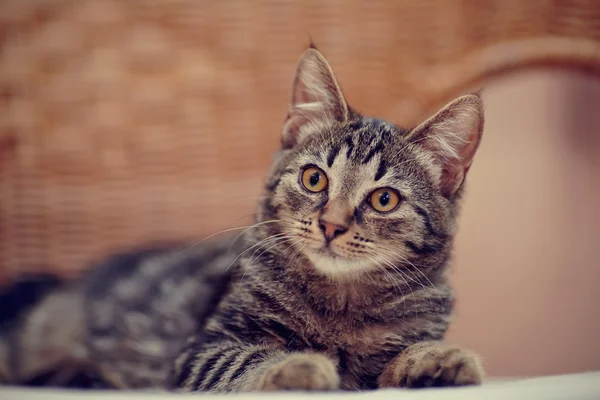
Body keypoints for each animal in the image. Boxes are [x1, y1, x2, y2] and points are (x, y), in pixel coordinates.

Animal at [0, 45, 486, 392]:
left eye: (384, 200)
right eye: (314, 179)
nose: (331, 224)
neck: (341, 303)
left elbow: (405, 353)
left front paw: (438, 358)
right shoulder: (202, 349)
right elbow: (247, 360)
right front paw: (300, 365)